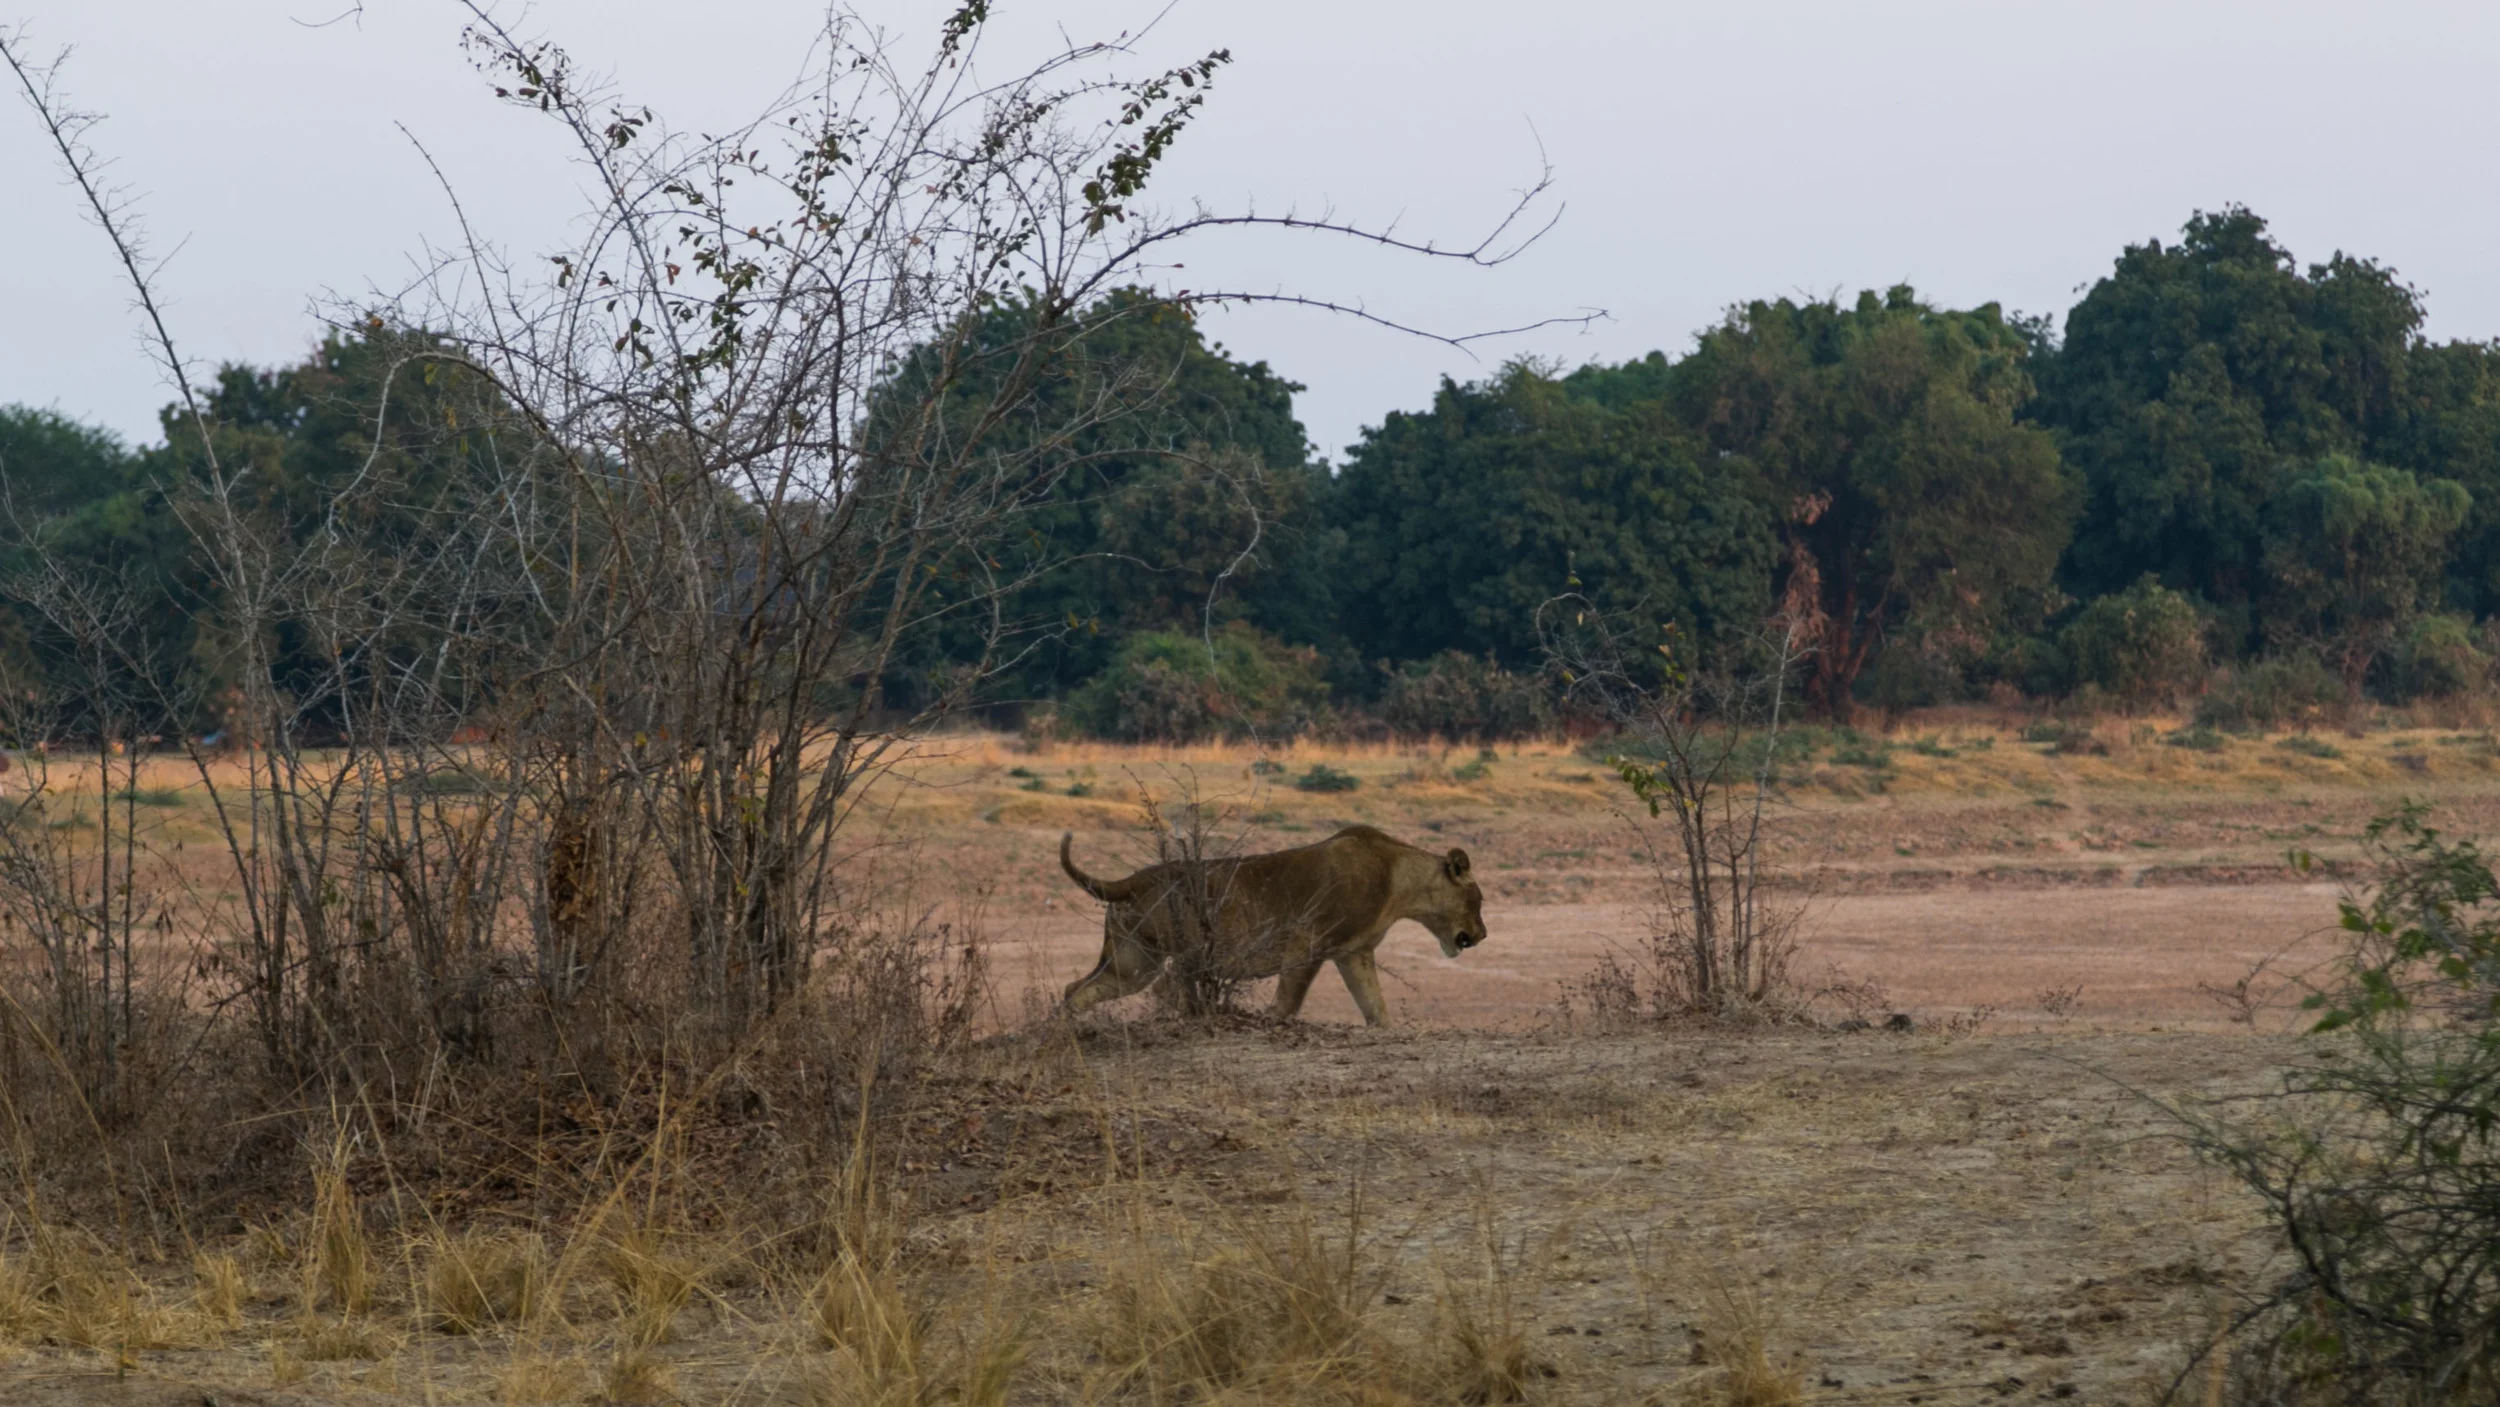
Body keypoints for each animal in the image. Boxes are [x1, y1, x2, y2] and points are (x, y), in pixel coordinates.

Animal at [1057, 824, 1487, 1026]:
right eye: (1479, 901)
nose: (1483, 935)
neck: (1401, 883)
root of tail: (1136, 878)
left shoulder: (1354, 954)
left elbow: (1375, 1006)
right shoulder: (1309, 939)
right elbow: (1289, 1000)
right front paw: (1270, 1019)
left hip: (1133, 964)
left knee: (1077, 988)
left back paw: (1060, 1030)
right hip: (1187, 949)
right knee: (1170, 986)